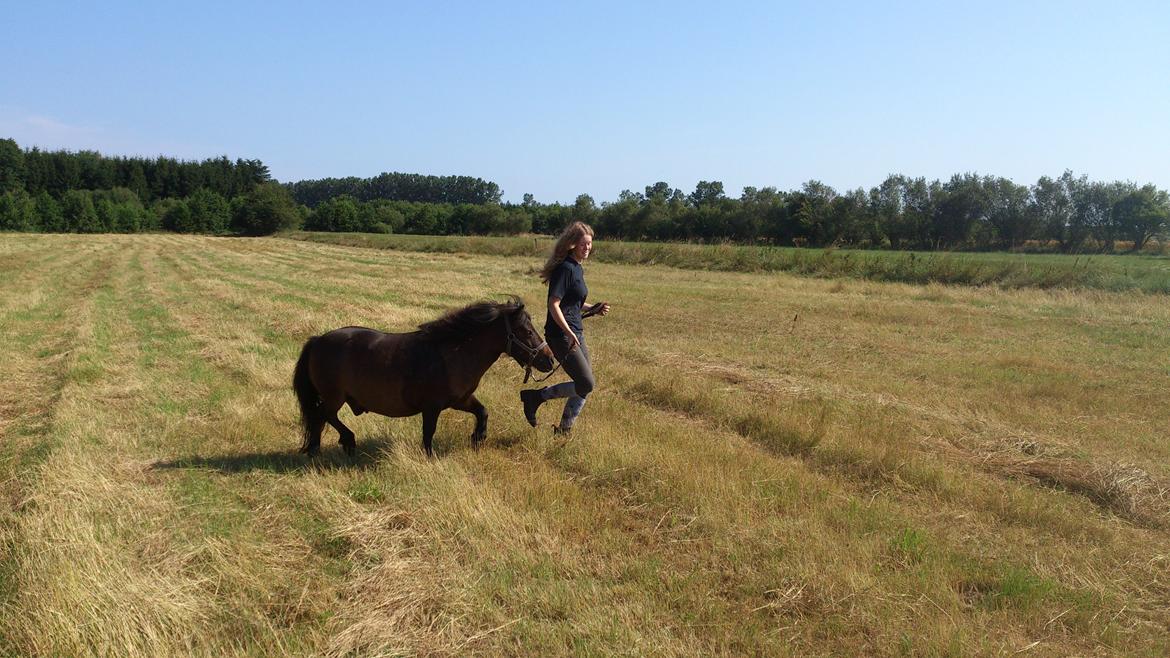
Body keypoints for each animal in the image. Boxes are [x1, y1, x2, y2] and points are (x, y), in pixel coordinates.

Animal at [290, 297, 549, 456]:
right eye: (527, 331)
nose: (549, 360)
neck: (453, 352)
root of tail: (318, 340)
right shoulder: (432, 407)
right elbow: (428, 432)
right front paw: (430, 456)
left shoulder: (460, 400)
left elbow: (482, 411)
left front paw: (478, 437)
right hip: (334, 397)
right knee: (323, 415)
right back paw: (345, 441)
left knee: (320, 418)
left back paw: (316, 449)